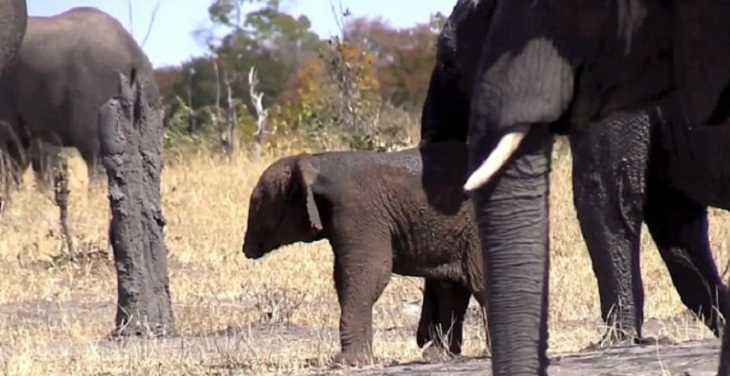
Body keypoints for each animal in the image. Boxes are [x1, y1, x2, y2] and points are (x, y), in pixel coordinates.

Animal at [242, 140, 486, 364]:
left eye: (258, 204)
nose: (246, 250)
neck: (316, 163)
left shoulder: (357, 211)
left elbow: (368, 274)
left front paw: (346, 362)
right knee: (452, 288)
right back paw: (438, 356)